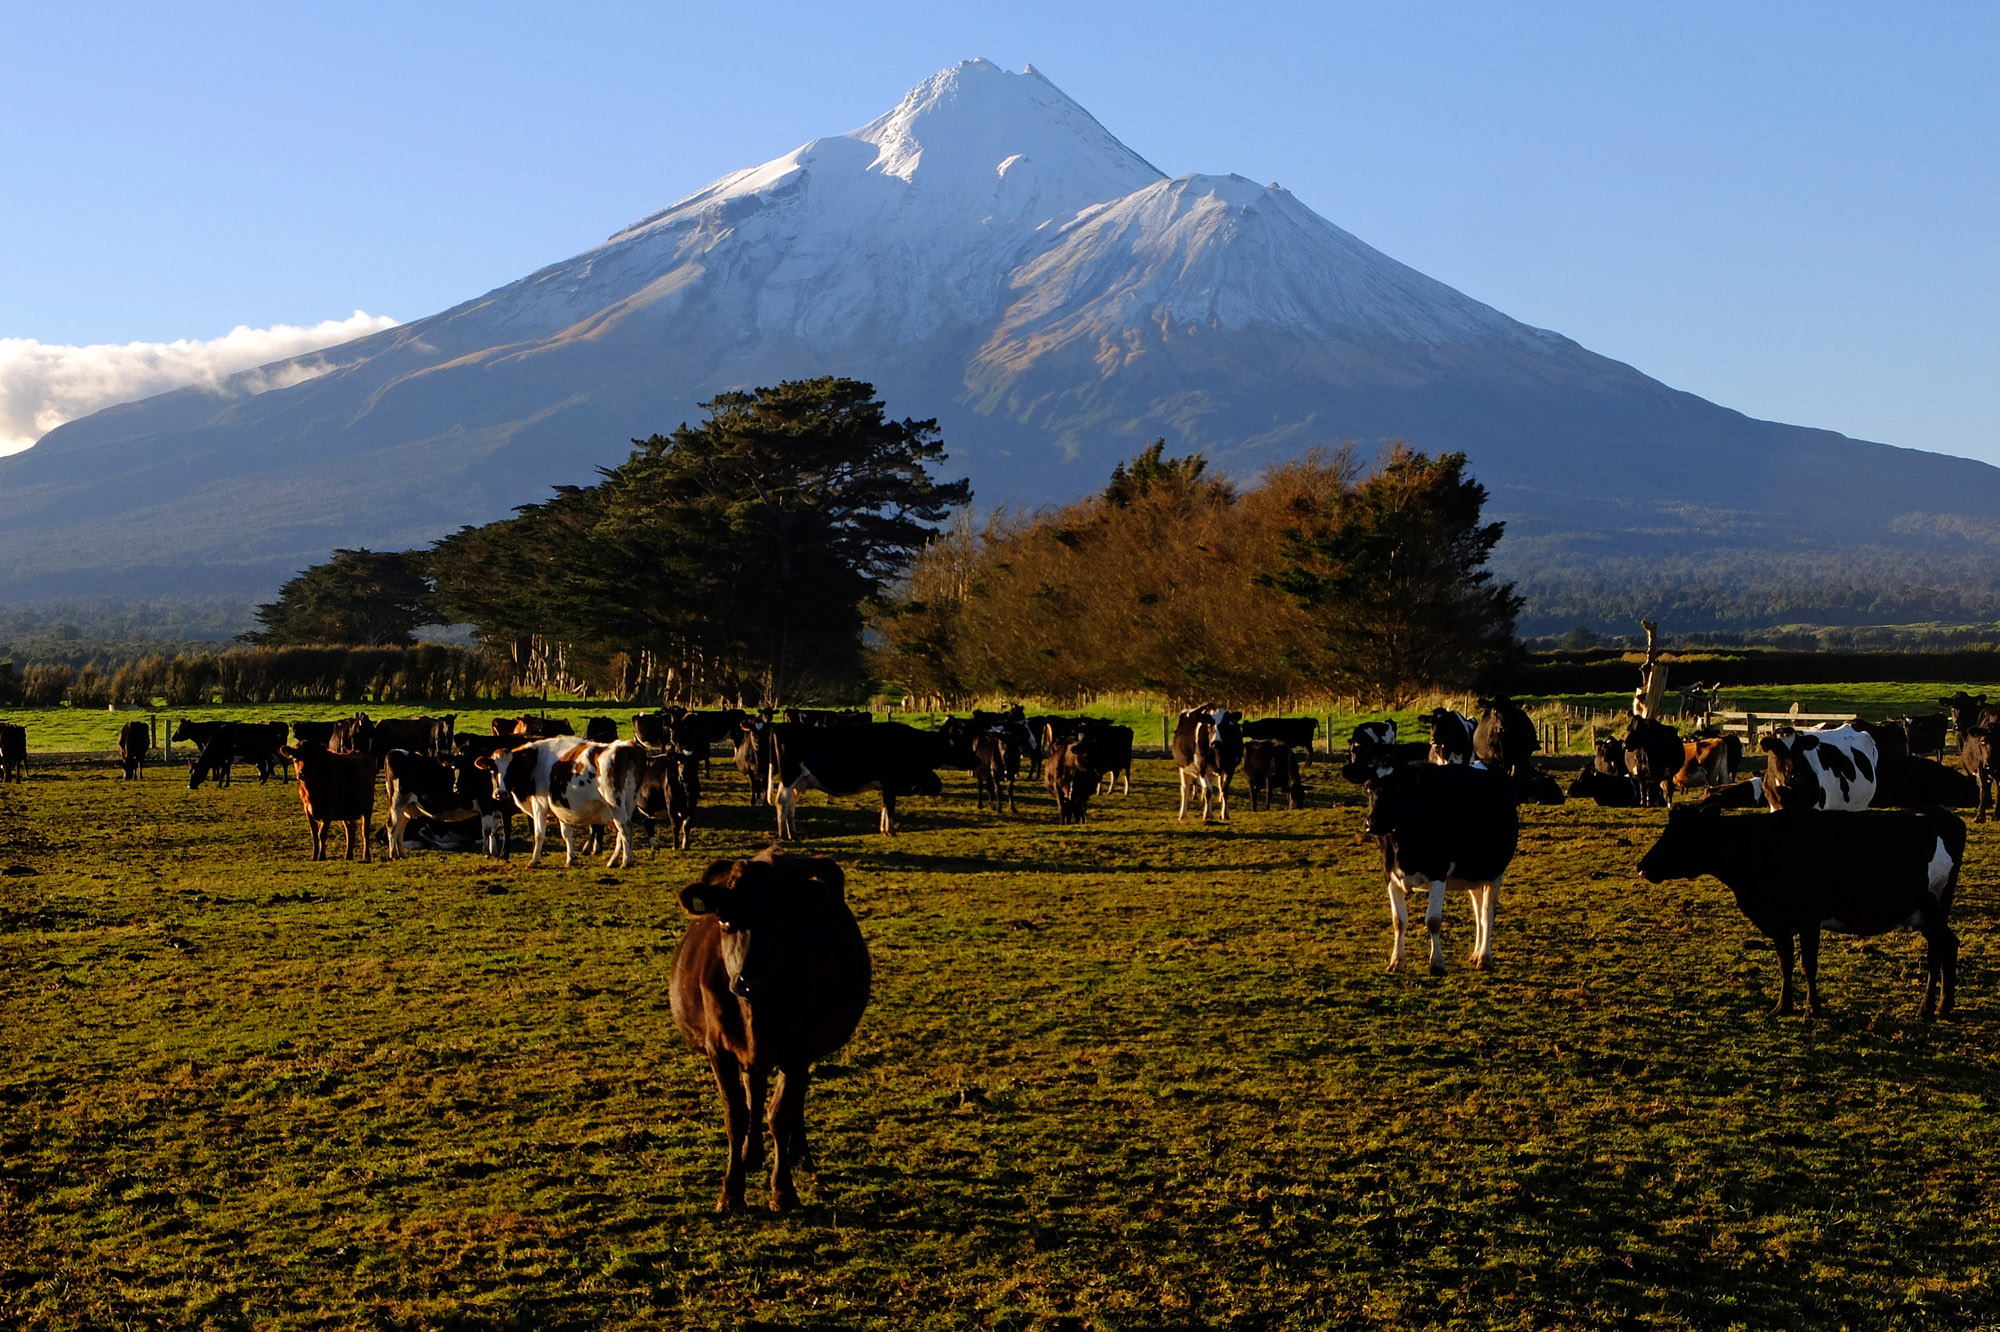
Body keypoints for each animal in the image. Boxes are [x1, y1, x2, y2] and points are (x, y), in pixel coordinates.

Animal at [472, 732, 644, 868]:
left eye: (512, 769)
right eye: (493, 770)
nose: (500, 793)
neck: (535, 762)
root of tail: (627, 747)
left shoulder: (539, 804)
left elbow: (539, 833)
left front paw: (534, 860)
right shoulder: (560, 805)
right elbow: (566, 832)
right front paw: (571, 858)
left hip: (614, 802)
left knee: (625, 827)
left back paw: (626, 861)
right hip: (627, 804)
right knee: (621, 832)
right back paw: (613, 860)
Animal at [672, 844, 868, 1208]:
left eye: (782, 919)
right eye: (724, 918)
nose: (751, 981)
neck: (754, 1014)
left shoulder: (798, 1050)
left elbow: (781, 1114)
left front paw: (783, 1190)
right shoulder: (718, 1049)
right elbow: (735, 1114)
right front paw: (731, 1191)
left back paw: (799, 1154)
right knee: (755, 1087)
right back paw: (752, 1155)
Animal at [768, 720, 948, 836]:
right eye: (927, 767)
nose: (939, 784)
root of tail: (780, 725)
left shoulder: (886, 786)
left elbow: (884, 806)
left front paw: (884, 830)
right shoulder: (889, 782)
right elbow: (890, 807)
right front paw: (890, 831)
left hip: (798, 781)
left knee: (791, 803)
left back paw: (793, 831)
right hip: (790, 776)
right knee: (782, 801)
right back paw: (784, 834)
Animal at [1360, 764, 1512, 972]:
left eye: (1398, 788)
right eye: (1368, 788)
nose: (1372, 823)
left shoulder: (1438, 873)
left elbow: (1433, 920)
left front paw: (1437, 963)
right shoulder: (1390, 875)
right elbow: (1398, 920)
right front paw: (1397, 961)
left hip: (1495, 872)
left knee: (1488, 913)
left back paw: (1484, 957)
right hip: (1471, 875)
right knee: (1478, 910)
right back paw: (1476, 954)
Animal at [1640, 800, 1968, 1016]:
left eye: (1678, 835)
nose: (1642, 867)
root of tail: (1943, 815)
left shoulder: (1809, 919)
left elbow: (1807, 964)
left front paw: (1813, 1008)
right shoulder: (1780, 923)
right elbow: (1785, 963)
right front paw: (1782, 1007)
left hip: (1934, 908)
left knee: (1941, 950)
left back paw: (1931, 1007)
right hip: (1928, 914)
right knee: (1945, 947)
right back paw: (1939, 1006)